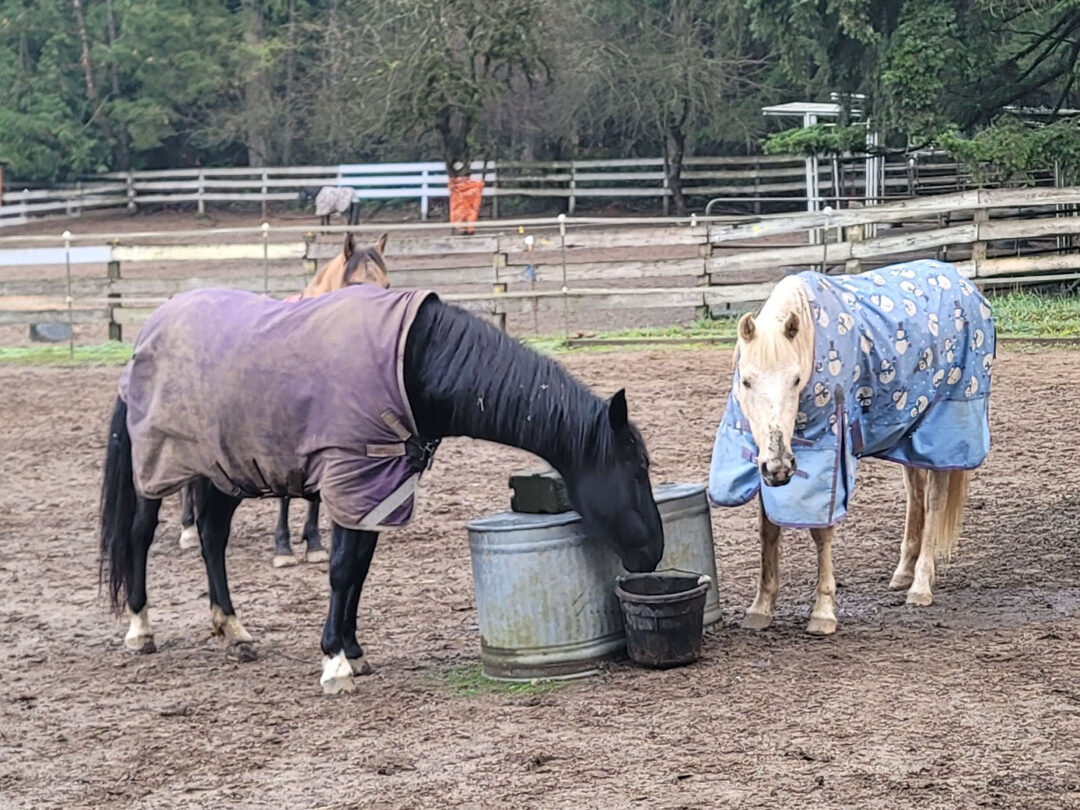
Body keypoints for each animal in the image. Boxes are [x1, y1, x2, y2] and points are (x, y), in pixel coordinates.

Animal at [100, 285, 664, 695]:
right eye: (637, 468)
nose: (654, 553)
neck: (413, 362)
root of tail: (148, 333)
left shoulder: (379, 488)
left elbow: (359, 569)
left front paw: (353, 652)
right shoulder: (351, 478)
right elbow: (341, 568)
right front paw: (334, 663)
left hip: (222, 472)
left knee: (213, 539)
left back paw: (233, 631)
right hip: (158, 469)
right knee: (140, 534)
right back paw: (140, 628)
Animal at [708, 259, 994, 634]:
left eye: (796, 380)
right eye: (746, 380)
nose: (781, 465)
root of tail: (963, 282)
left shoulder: (830, 456)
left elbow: (821, 532)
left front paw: (823, 612)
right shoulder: (766, 465)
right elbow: (768, 529)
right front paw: (760, 608)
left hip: (943, 429)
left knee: (933, 501)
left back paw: (920, 586)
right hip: (910, 433)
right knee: (915, 495)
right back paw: (903, 572)